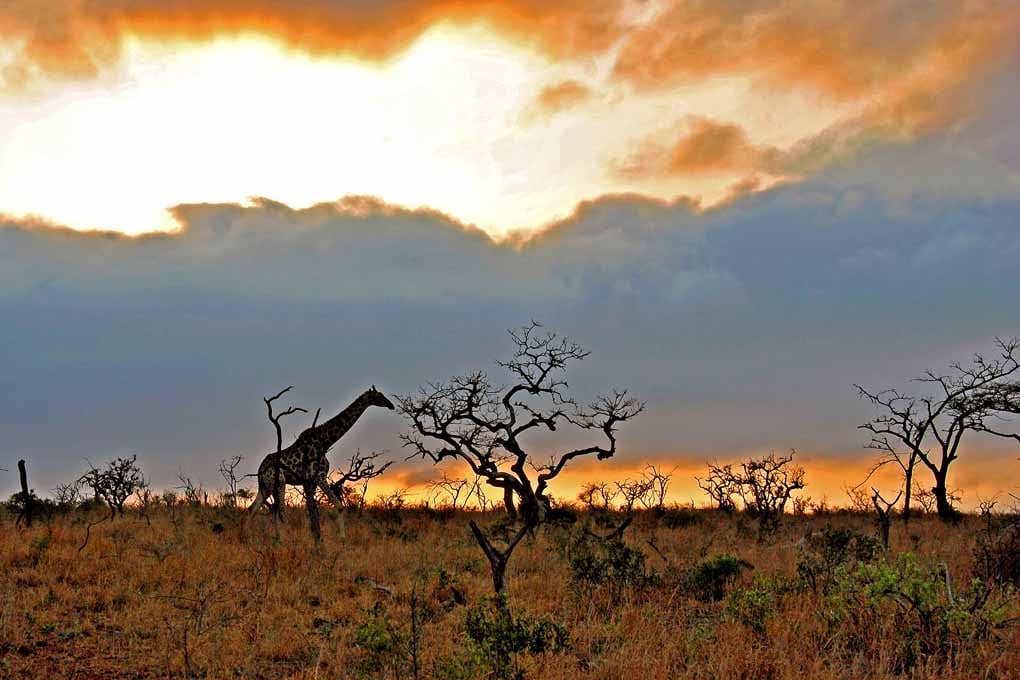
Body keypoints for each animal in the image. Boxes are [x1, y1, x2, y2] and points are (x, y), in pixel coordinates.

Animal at [247, 386, 395, 522]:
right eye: (379, 396)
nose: (391, 405)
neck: (325, 442)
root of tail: (260, 470)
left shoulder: (310, 481)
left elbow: (314, 511)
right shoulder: (320, 476)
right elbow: (339, 506)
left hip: (265, 486)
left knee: (253, 509)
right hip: (278, 482)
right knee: (281, 512)